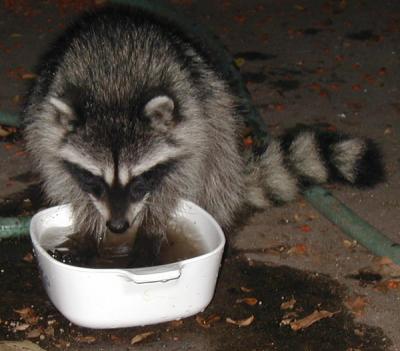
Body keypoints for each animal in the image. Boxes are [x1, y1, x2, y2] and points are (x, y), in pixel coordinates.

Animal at [23, 5, 382, 266]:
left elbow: (177, 182)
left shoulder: (190, 125)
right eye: (95, 182)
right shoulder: (48, 128)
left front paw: (150, 230)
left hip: (214, 102)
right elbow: (66, 181)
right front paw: (88, 229)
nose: (118, 227)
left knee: (215, 162)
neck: (114, 97)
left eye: (139, 183)